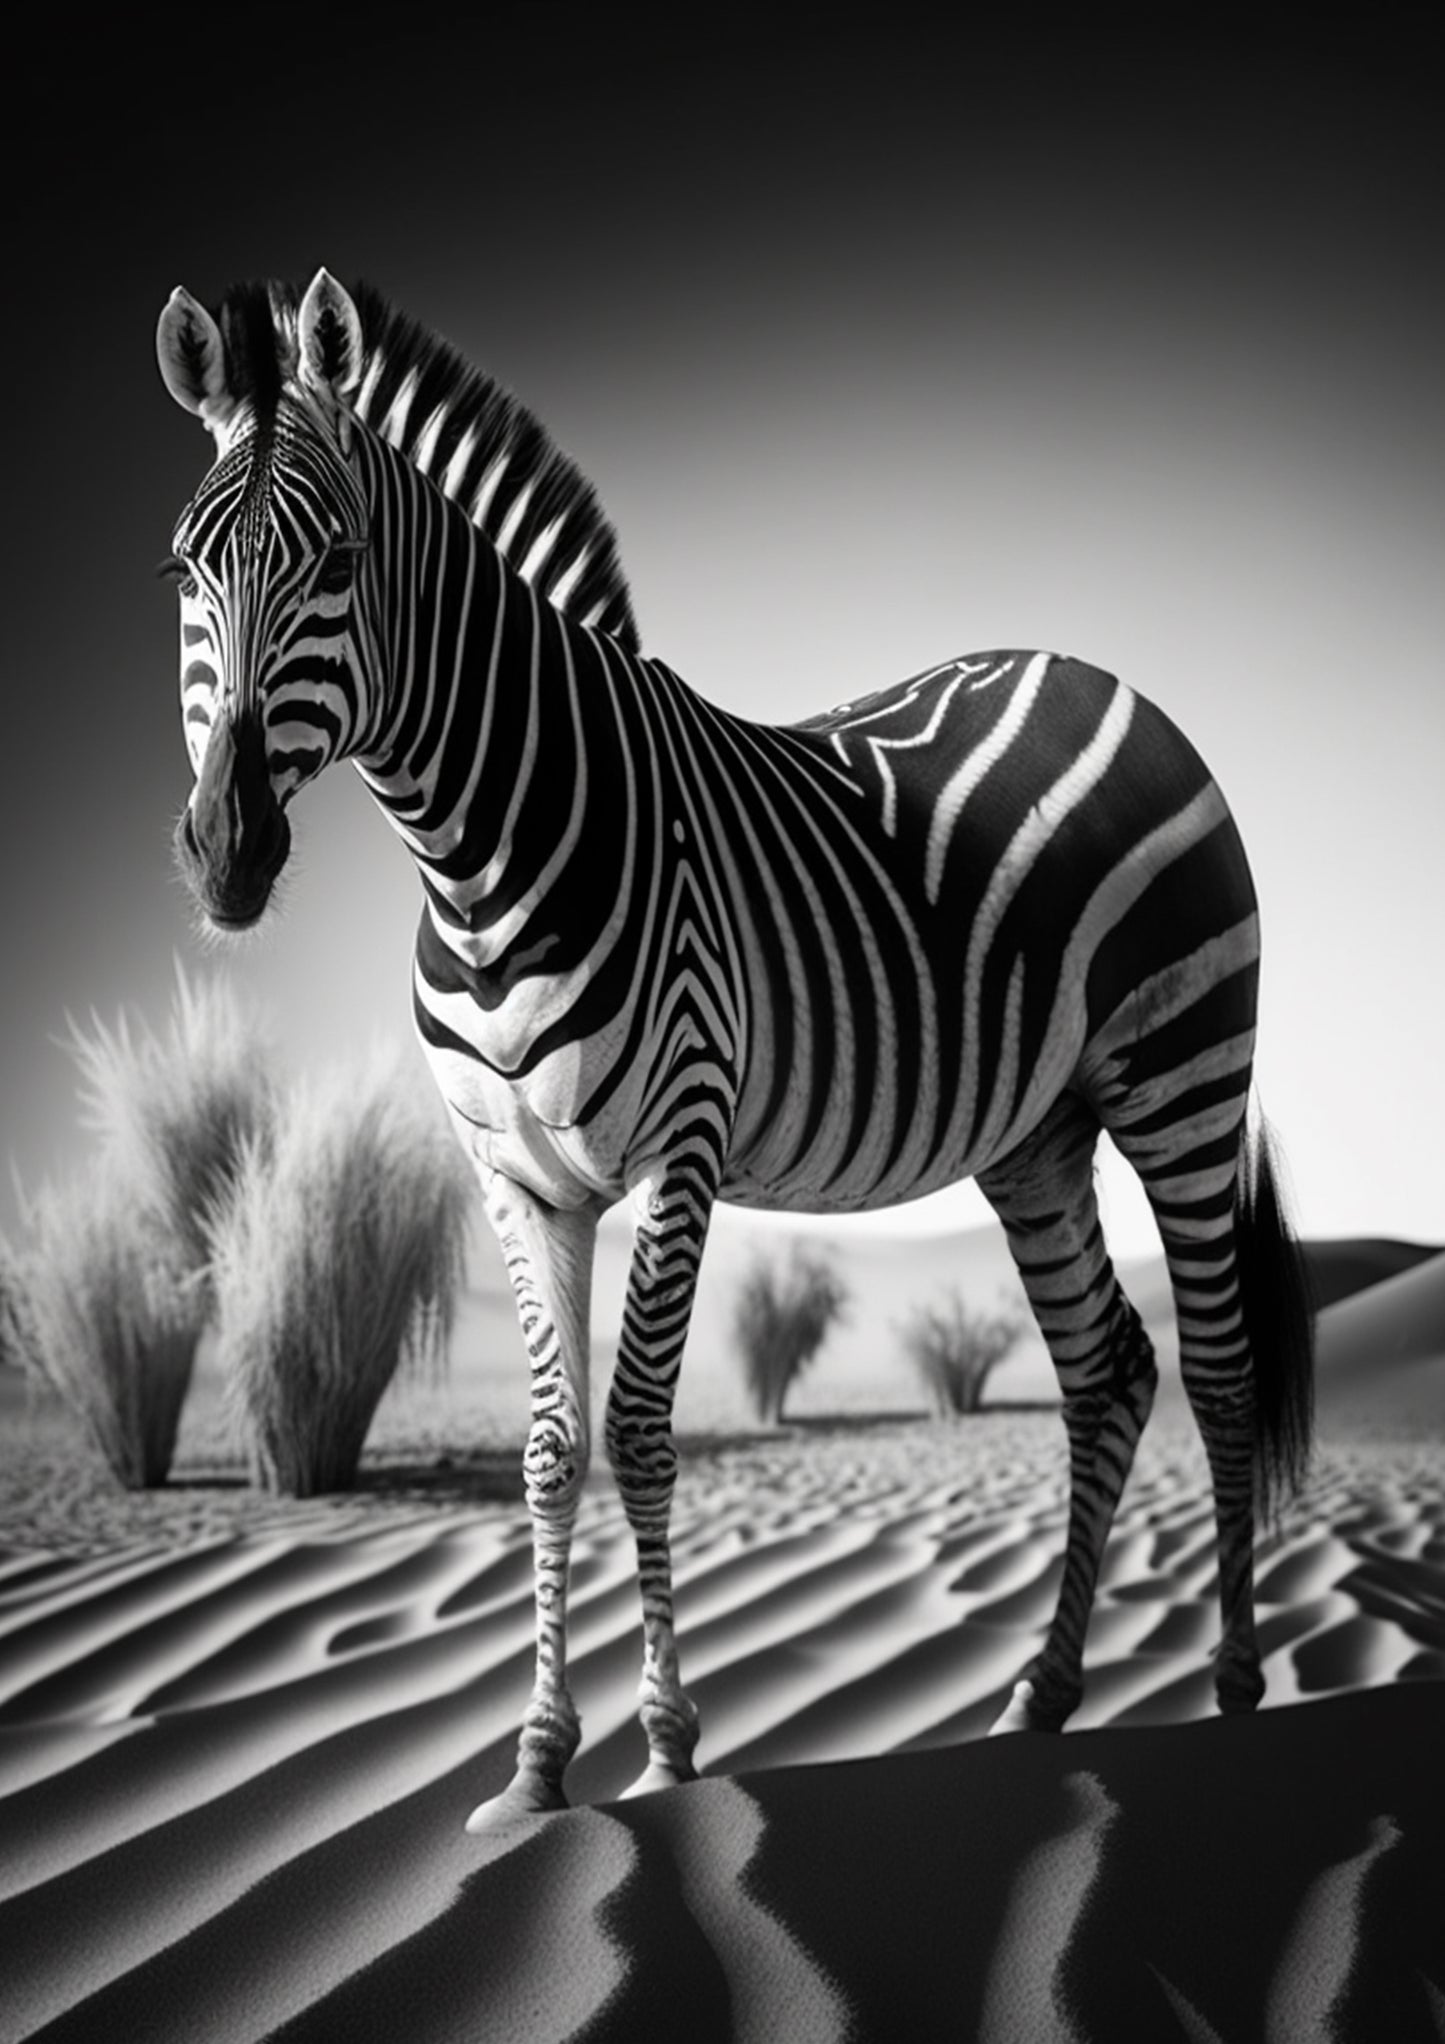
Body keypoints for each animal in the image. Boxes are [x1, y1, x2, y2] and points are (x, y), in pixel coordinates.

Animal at [155, 268, 1314, 1832]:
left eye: (335, 558)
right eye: (182, 571)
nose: (226, 853)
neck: (476, 858)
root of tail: (1102, 680)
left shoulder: (680, 1146)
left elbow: (642, 1427)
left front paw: (664, 1751)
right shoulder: (515, 1178)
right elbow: (547, 1448)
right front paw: (534, 1768)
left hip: (1183, 1075)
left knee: (1221, 1366)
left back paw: (1238, 1692)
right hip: (1037, 1134)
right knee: (1107, 1374)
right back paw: (1043, 1695)